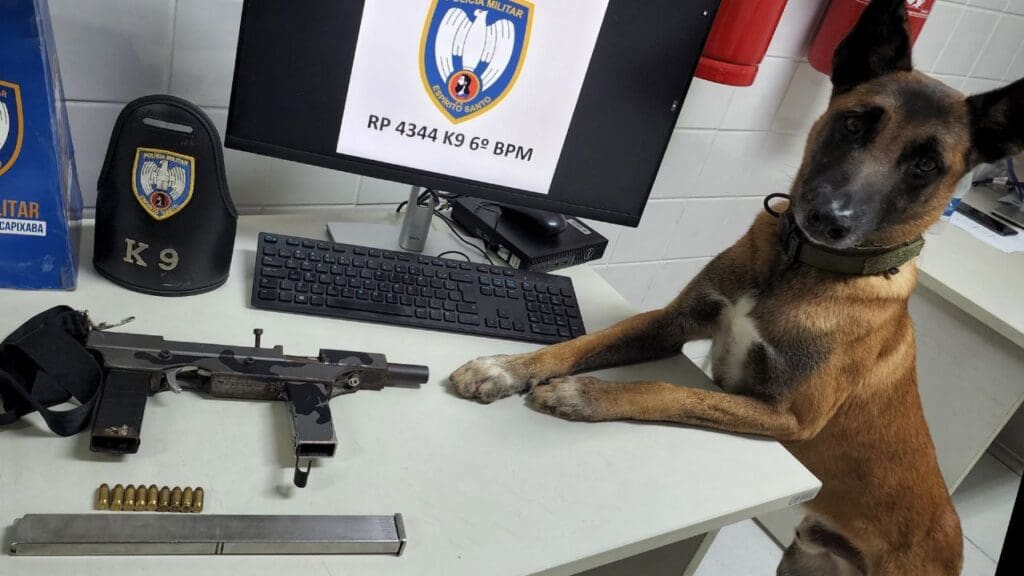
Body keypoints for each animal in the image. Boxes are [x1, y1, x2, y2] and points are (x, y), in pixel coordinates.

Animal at [448, 2, 1024, 569]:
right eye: (855, 124)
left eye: (926, 164)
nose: (828, 218)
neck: (794, 266)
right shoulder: (673, 320)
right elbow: (582, 343)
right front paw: (507, 368)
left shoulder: (789, 418)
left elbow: (669, 390)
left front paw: (584, 394)